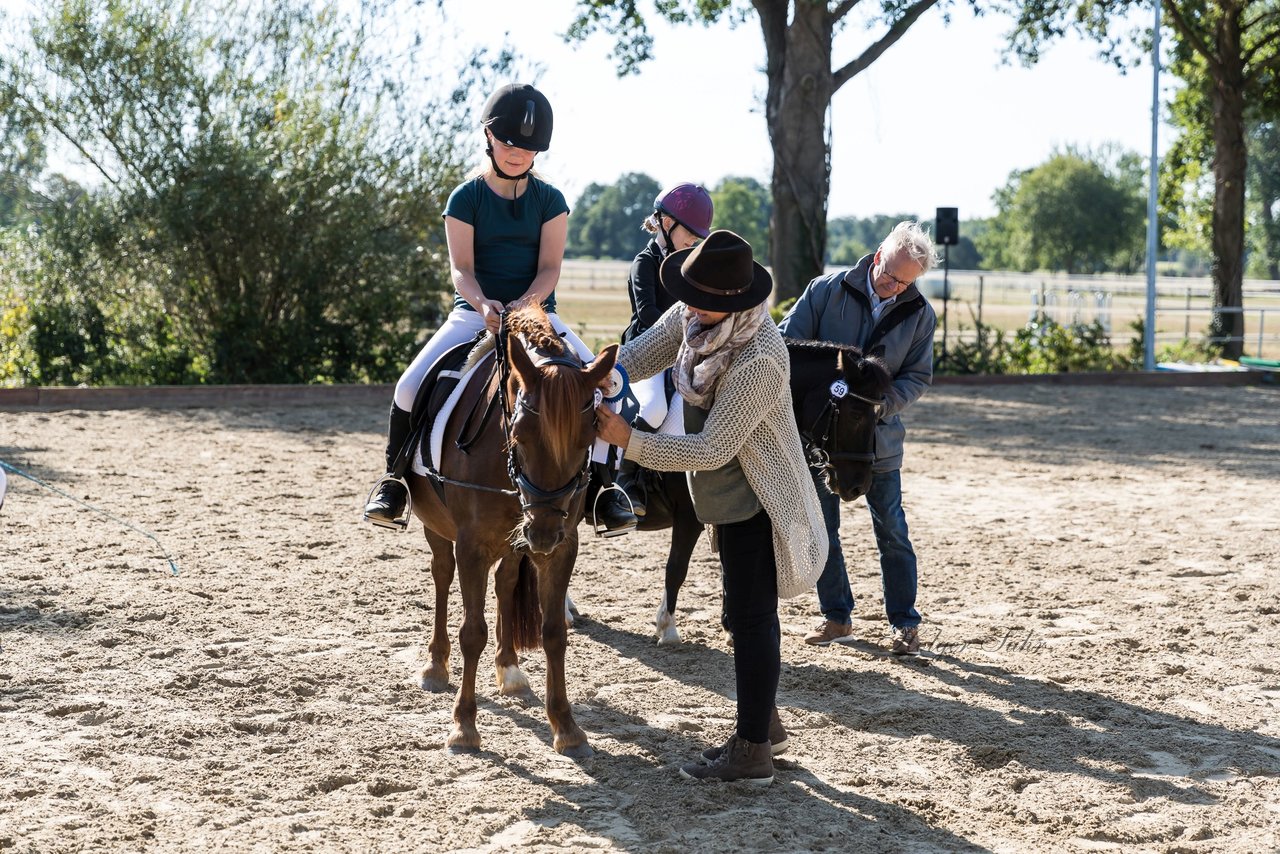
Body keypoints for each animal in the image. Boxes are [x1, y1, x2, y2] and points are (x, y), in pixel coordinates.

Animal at [404, 303, 614, 757]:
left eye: (591, 434)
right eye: (518, 434)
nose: (543, 533)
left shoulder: (563, 547)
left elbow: (553, 632)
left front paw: (567, 727)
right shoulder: (471, 546)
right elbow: (472, 633)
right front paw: (463, 727)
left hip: (518, 542)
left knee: (505, 583)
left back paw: (510, 669)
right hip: (441, 530)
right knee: (441, 576)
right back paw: (435, 666)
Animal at [634, 338, 885, 645]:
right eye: (856, 414)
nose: (860, 485)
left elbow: (728, 570)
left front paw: (730, 628)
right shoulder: (689, 517)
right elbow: (677, 568)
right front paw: (667, 627)